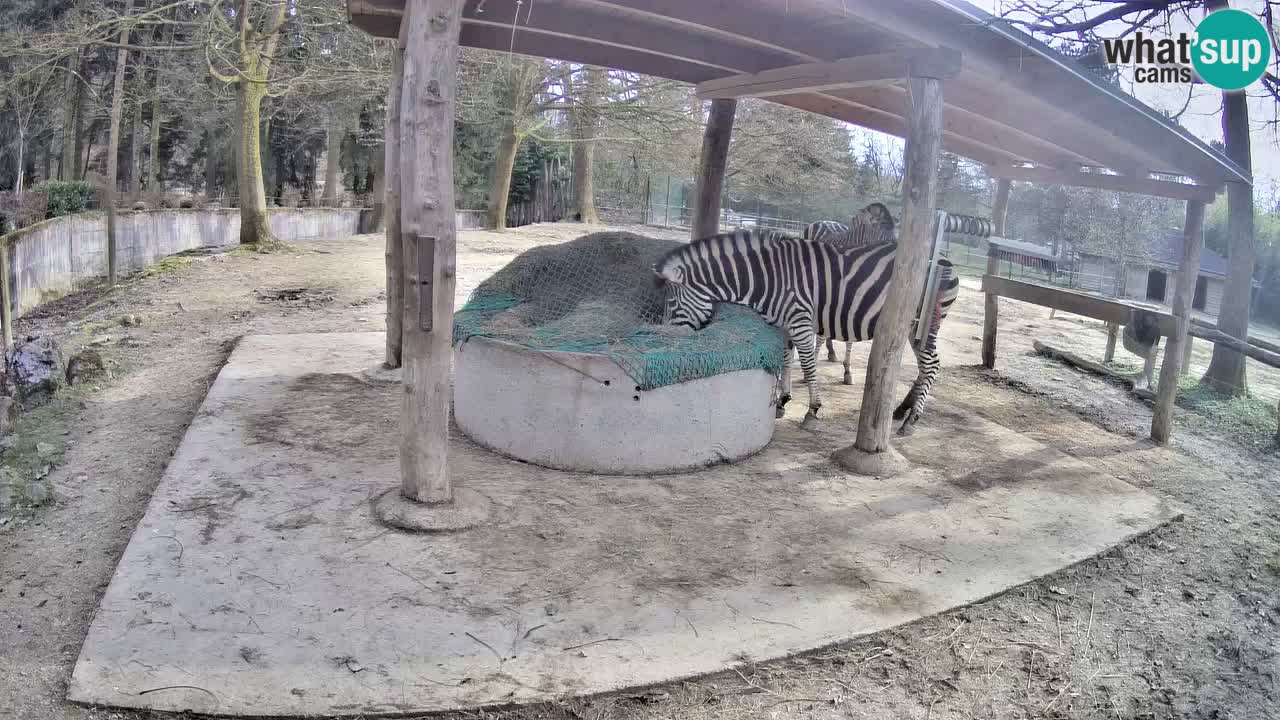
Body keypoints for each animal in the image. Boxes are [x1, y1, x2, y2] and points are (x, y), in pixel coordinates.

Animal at [653, 228, 959, 434]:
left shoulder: (799, 319)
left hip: (922, 324)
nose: (668, 341)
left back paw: (911, 420)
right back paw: (901, 410)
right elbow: (786, 359)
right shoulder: (784, 323)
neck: (767, 278)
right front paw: (782, 401)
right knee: (924, 367)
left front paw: (812, 411)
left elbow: (809, 365)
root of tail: (944, 260)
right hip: (912, 329)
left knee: (932, 365)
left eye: (671, 303)